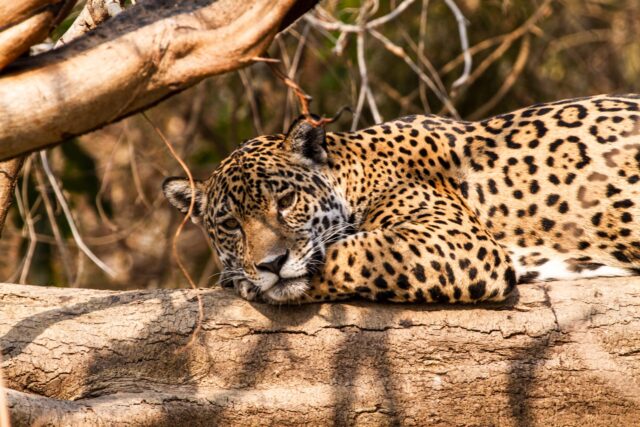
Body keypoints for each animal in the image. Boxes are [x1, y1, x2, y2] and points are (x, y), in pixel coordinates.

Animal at [163, 94, 640, 305]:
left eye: (285, 199)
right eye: (230, 224)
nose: (270, 264)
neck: (356, 171)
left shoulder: (455, 239)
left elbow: (349, 252)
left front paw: (250, 282)